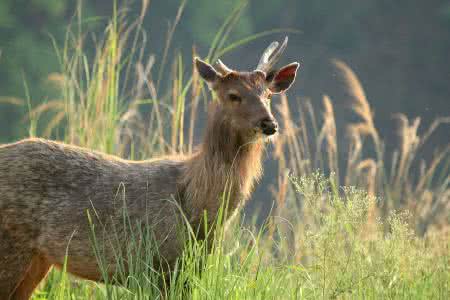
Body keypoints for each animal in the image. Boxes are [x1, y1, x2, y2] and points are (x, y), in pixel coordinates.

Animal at [0, 37, 298, 298]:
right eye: (233, 95)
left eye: (268, 94)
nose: (269, 123)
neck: (197, 206)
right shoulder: (154, 265)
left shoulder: (190, 269)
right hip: (11, 247)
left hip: (37, 259)